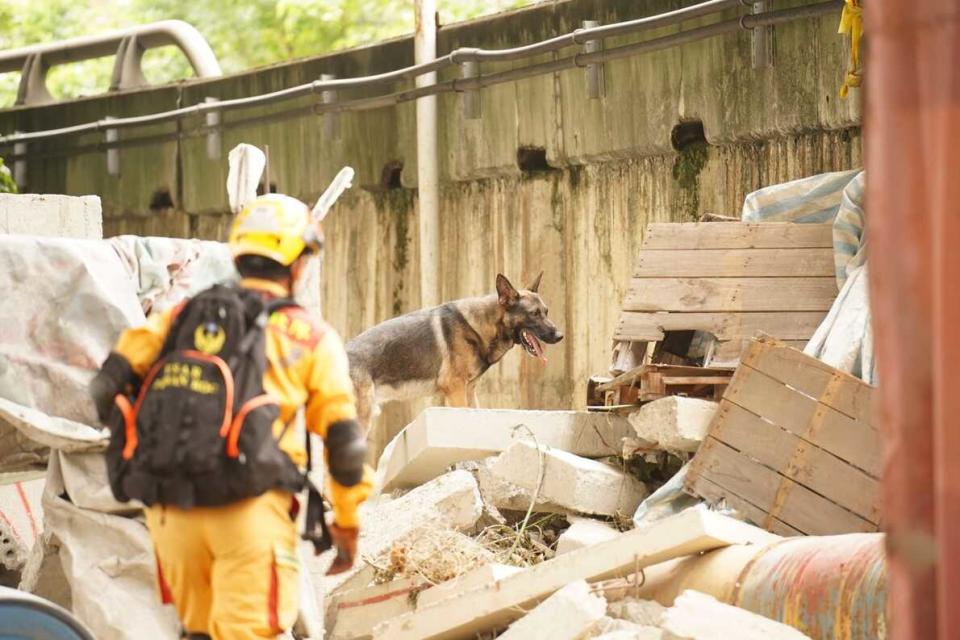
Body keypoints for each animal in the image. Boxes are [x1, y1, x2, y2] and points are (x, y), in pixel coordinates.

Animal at [346, 272, 564, 430]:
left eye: (546, 312)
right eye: (534, 314)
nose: (560, 336)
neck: (479, 327)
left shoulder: (469, 390)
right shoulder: (455, 388)